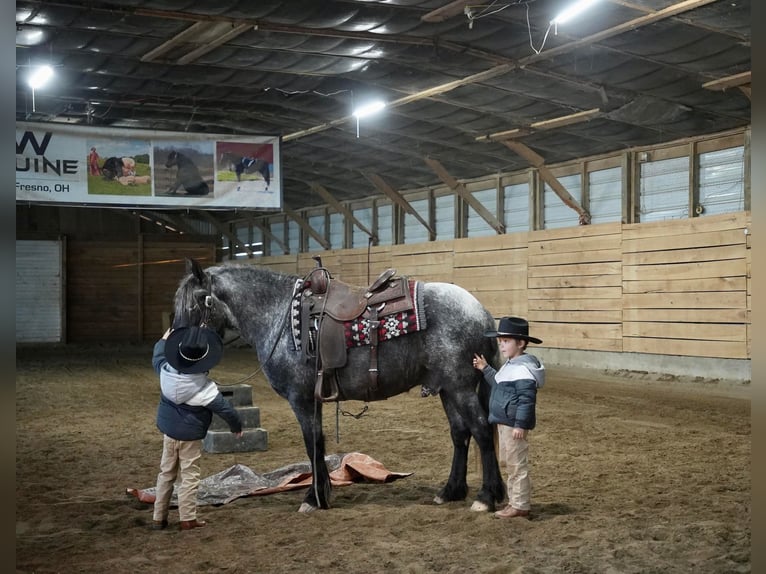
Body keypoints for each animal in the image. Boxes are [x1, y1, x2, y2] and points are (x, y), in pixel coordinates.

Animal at [175, 258, 510, 516]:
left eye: (196, 302)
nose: (178, 350)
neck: (280, 316)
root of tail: (480, 312)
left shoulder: (301, 399)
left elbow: (312, 443)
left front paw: (313, 498)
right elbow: (319, 444)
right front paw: (321, 494)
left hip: (460, 387)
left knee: (481, 430)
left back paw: (486, 497)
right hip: (447, 389)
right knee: (460, 434)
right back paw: (451, 491)